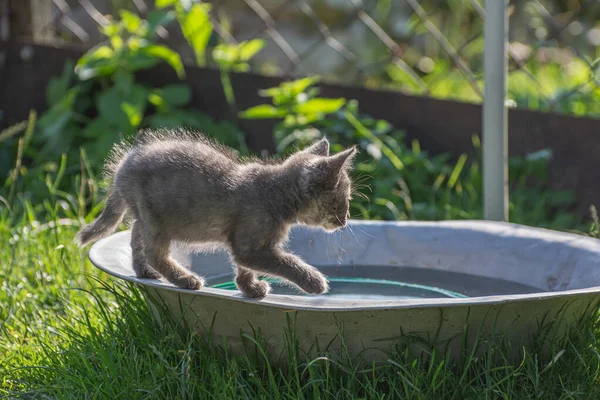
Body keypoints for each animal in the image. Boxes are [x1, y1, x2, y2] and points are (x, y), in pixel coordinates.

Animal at [75, 128, 356, 296]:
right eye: (343, 200)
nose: (345, 220)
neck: (276, 191)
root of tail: (124, 164)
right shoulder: (252, 246)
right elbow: (286, 261)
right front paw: (314, 281)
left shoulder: (246, 245)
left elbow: (244, 267)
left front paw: (249, 287)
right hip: (155, 219)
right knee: (155, 253)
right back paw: (184, 279)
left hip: (145, 216)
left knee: (136, 237)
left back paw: (144, 271)